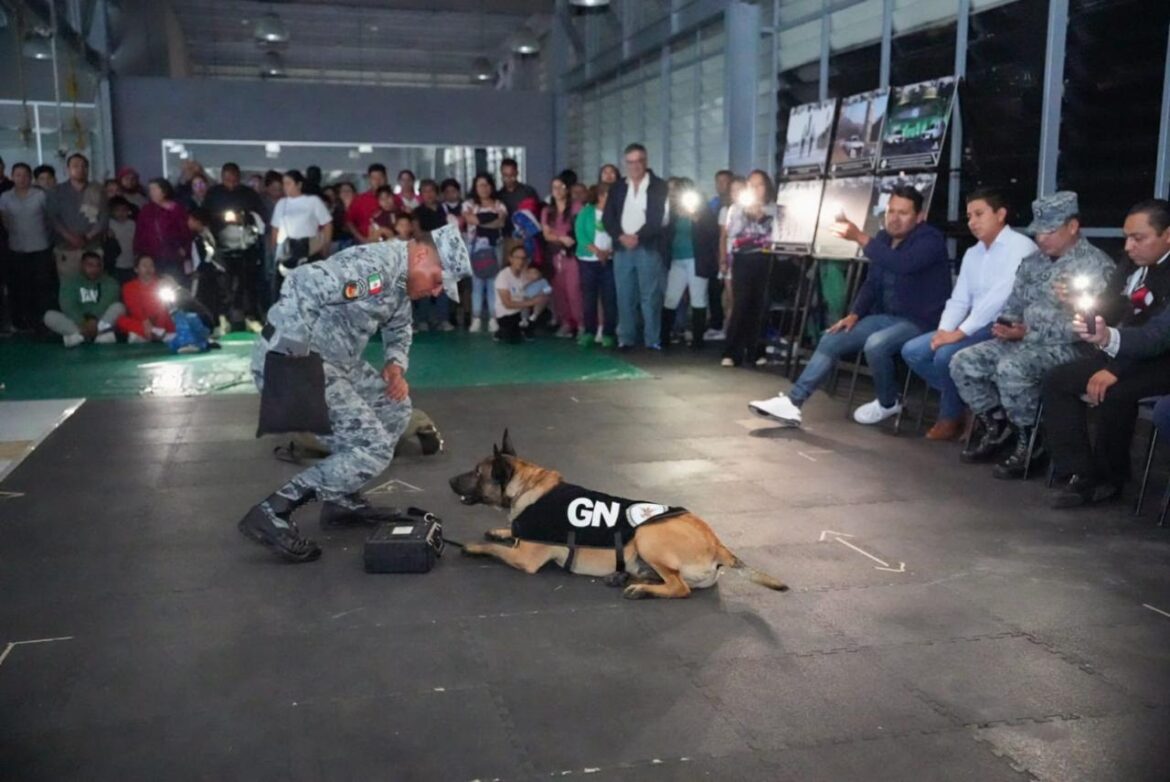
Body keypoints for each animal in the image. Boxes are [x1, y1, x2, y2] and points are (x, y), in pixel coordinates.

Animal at [448, 431, 788, 599]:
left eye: (477, 473)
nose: (449, 481)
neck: (527, 488)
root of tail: (717, 544)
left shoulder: (524, 559)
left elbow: (495, 549)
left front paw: (474, 546)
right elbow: (509, 532)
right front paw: (501, 530)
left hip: (647, 534)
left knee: (680, 588)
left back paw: (640, 589)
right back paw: (624, 576)